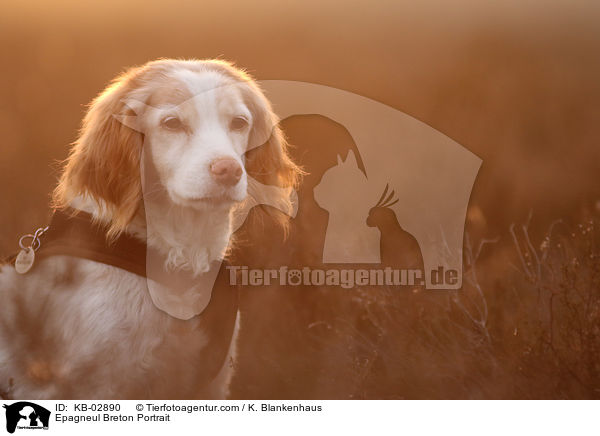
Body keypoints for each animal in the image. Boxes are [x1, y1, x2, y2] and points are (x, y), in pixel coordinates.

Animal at [0, 59, 300, 400]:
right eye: (172, 123)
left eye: (239, 122)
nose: (229, 170)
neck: (179, 266)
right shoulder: (88, 387)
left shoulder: (212, 385)